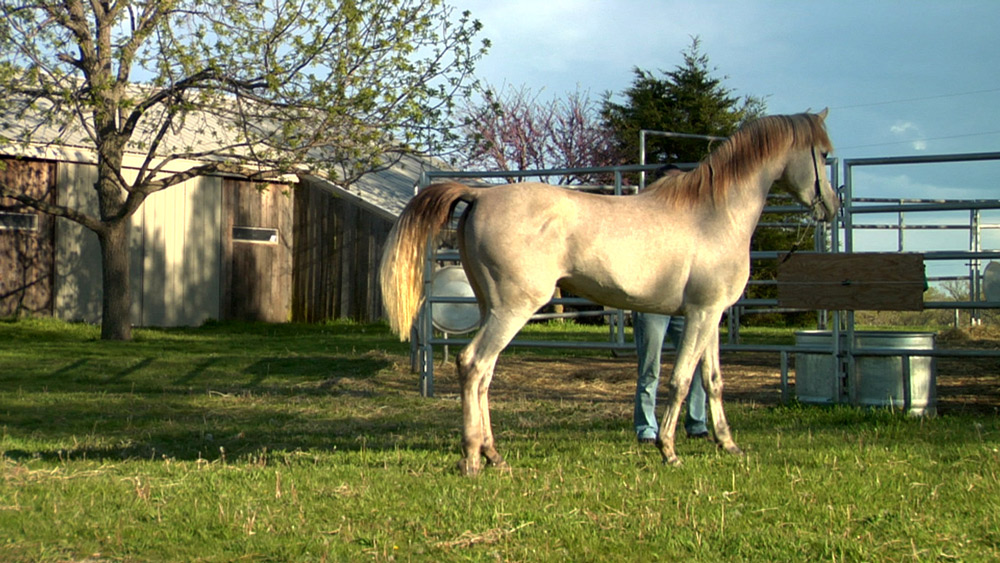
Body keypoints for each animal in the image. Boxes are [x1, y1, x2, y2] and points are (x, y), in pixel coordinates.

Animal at [379, 110, 838, 475]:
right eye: (824, 154)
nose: (832, 207)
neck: (714, 215)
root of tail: (479, 194)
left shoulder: (712, 315)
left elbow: (712, 380)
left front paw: (728, 444)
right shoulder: (702, 313)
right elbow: (680, 380)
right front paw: (668, 451)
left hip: (492, 307)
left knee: (484, 374)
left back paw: (494, 455)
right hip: (513, 309)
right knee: (474, 364)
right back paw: (473, 458)